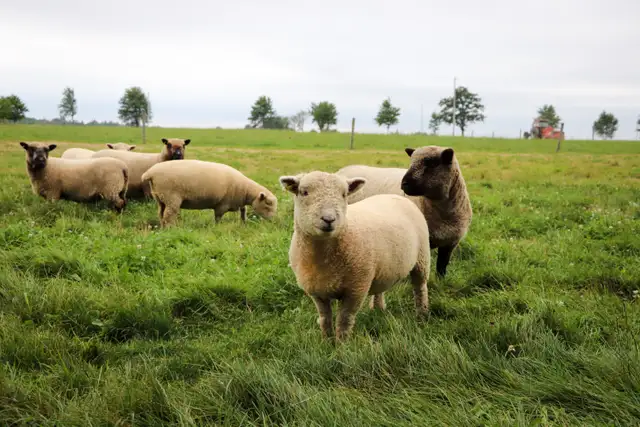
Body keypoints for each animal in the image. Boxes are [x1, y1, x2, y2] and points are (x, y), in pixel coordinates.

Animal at [141, 159, 278, 227]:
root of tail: (150, 173)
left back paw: (163, 227)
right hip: (171, 198)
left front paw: (244, 223)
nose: (272, 221)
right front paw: (216, 227)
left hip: (160, 198)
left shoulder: (238, 203)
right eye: (267, 205)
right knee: (169, 216)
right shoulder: (222, 205)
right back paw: (172, 229)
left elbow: (243, 212)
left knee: (161, 214)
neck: (245, 190)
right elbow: (218, 217)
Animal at [279, 171, 430, 341]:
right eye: (304, 192)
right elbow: (325, 318)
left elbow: (344, 320)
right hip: (383, 267)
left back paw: (422, 314)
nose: (329, 219)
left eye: (344, 194)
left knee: (420, 288)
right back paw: (378, 309)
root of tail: (396, 196)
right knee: (380, 289)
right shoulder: (317, 292)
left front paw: (342, 344)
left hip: (422, 257)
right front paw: (327, 340)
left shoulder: (356, 288)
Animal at [336, 146, 472, 278]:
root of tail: (343, 170)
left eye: (432, 164)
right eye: (411, 162)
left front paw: (440, 280)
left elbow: (442, 266)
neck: (443, 214)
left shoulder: (451, 242)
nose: (404, 183)